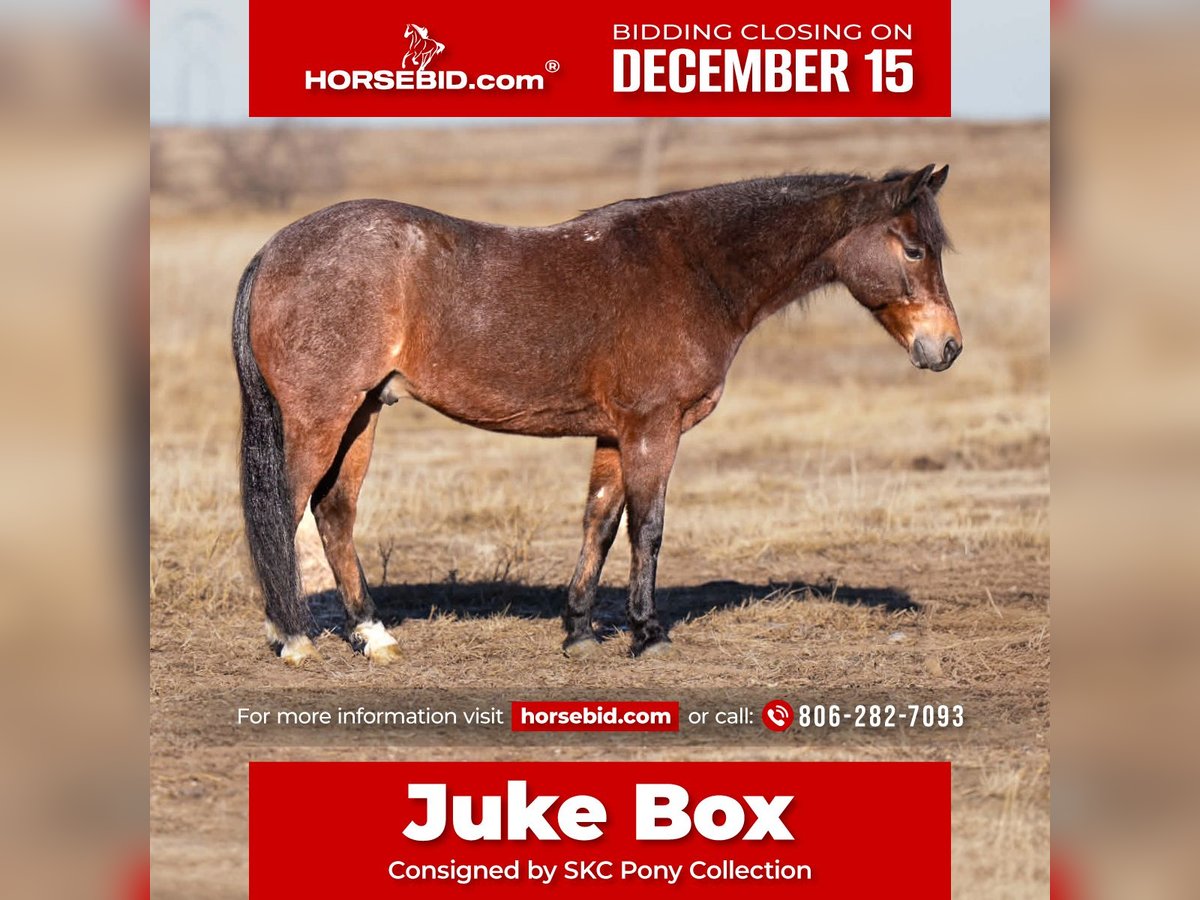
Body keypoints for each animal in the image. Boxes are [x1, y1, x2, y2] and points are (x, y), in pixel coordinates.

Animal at [232, 164, 960, 666]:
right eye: (914, 249)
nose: (947, 346)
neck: (696, 268)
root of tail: (272, 252)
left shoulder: (615, 434)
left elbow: (601, 524)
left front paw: (579, 629)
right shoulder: (653, 428)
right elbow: (648, 528)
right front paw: (647, 633)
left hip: (362, 412)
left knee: (334, 513)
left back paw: (374, 635)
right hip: (322, 416)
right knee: (286, 510)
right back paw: (293, 638)